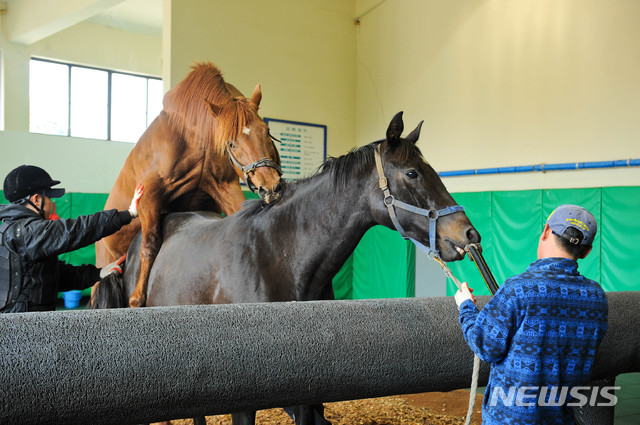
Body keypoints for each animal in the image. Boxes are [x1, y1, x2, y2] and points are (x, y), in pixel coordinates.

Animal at [95, 62, 282, 308]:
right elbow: (149, 244)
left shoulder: (225, 187)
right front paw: (137, 297)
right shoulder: (149, 196)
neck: (193, 137)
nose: (271, 186)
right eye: (231, 143)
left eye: (267, 131)